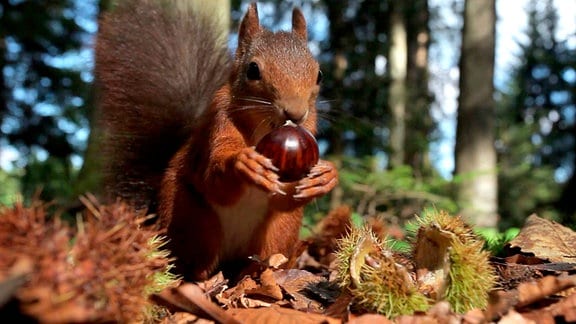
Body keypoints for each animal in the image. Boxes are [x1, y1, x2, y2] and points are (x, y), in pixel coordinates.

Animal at [94, 0, 338, 280]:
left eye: (319, 74)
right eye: (253, 70)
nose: (295, 114)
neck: (264, 128)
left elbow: (284, 199)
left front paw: (326, 177)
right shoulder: (219, 123)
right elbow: (214, 177)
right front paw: (244, 164)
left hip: (279, 231)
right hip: (192, 221)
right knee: (194, 263)